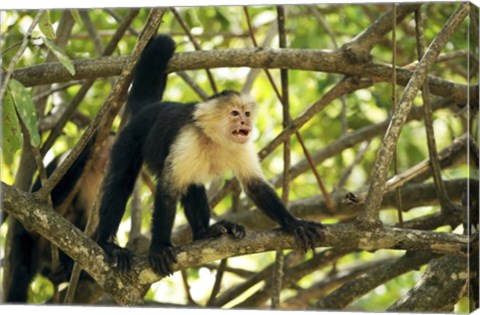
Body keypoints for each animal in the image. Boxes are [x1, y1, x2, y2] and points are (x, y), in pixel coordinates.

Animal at [92, 33, 324, 278]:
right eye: (234, 113)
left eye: (246, 113)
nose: (245, 122)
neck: (216, 140)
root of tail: (149, 109)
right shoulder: (187, 139)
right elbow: (168, 189)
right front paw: (159, 247)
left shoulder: (242, 147)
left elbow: (255, 186)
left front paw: (294, 223)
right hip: (129, 137)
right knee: (122, 182)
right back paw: (107, 244)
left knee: (192, 185)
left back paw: (204, 233)